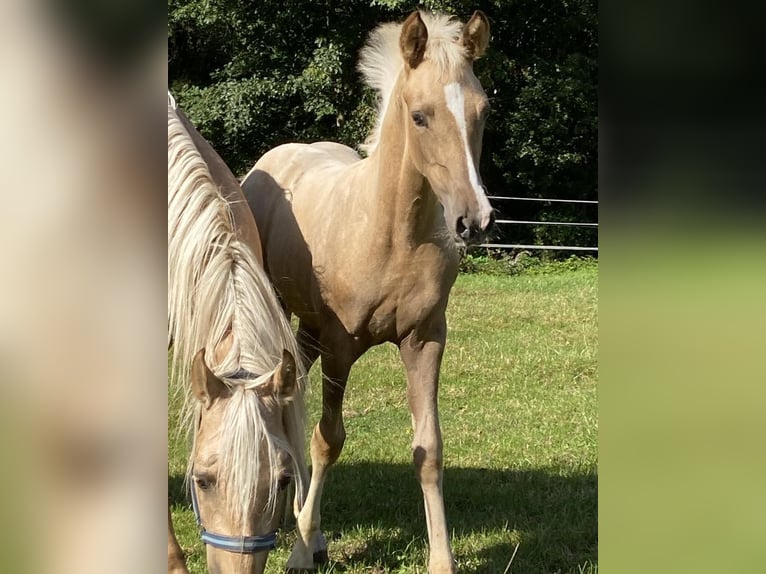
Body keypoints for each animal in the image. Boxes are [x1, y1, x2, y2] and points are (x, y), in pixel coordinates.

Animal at [243, 10, 496, 574]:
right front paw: (300, 549)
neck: (392, 234)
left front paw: (442, 560)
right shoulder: (341, 346)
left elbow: (429, 449)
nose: (474, 220)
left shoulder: (425, 340)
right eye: (420, 116)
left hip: (308, 331)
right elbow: (328, 439)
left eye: (482, 110)